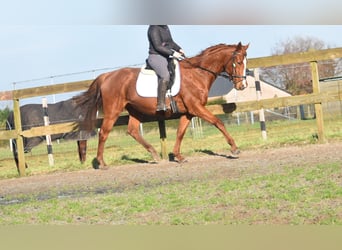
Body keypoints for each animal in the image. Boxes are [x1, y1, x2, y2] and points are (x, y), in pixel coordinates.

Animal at [75, 42, 248, 169]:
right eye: (238, 62)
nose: (243, 86)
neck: (197, 73)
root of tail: (106, 76)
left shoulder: (189, 112)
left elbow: (180, 132)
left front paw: (178, 156)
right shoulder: (196, 107)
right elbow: (218, 122)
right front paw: (234, 149)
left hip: (135, 109)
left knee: (132, 130)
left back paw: (154, 155)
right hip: (113, 110)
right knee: (104, 133)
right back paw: (102, 163)